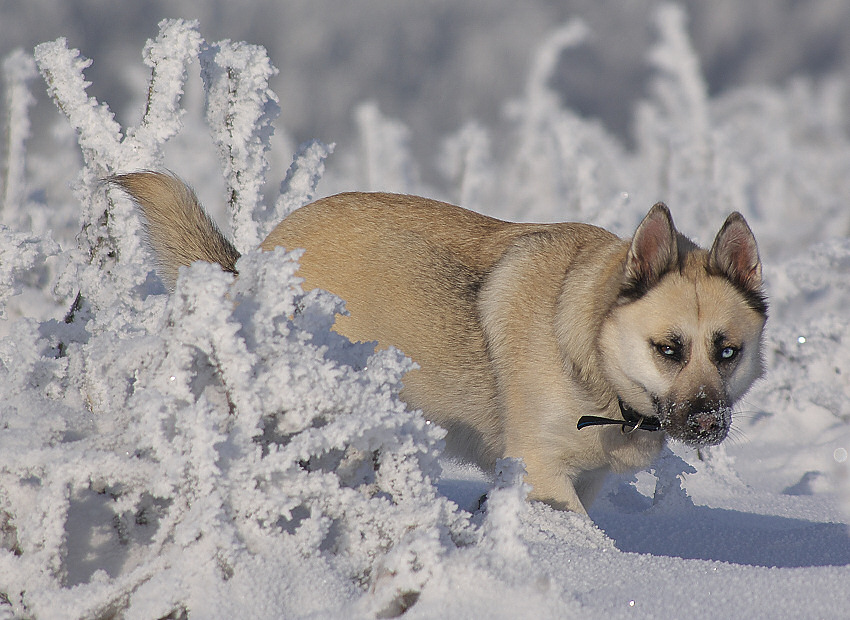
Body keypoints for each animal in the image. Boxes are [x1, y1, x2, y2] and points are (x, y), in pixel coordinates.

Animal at [109, 171, 764, 512]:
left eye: (726, 352)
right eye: (669, 349)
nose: (707, 422)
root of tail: (262, 254)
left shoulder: (580, 479)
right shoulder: (541, 475)